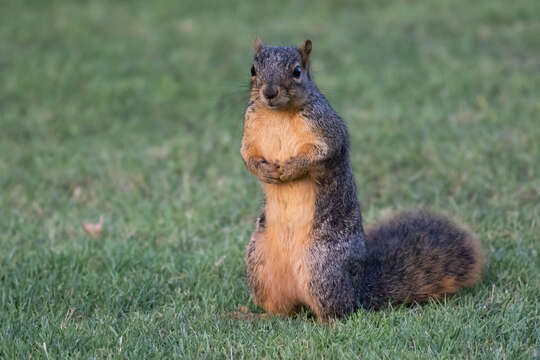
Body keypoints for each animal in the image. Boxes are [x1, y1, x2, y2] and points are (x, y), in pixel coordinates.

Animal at [240, 38, 486, 322]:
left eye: (297, 71)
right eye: (253, 69)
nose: (269, 92)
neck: (278, 114)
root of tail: (359, 289)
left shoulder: (328, 131)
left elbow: (321, 154)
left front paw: (290, 168)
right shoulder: (250, 132)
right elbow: (246, 155)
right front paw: (264, 171)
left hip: (322, 269)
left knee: (337, 311)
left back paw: (326, 321)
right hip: (260, 264)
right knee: (283, 311)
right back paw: (252, 315)